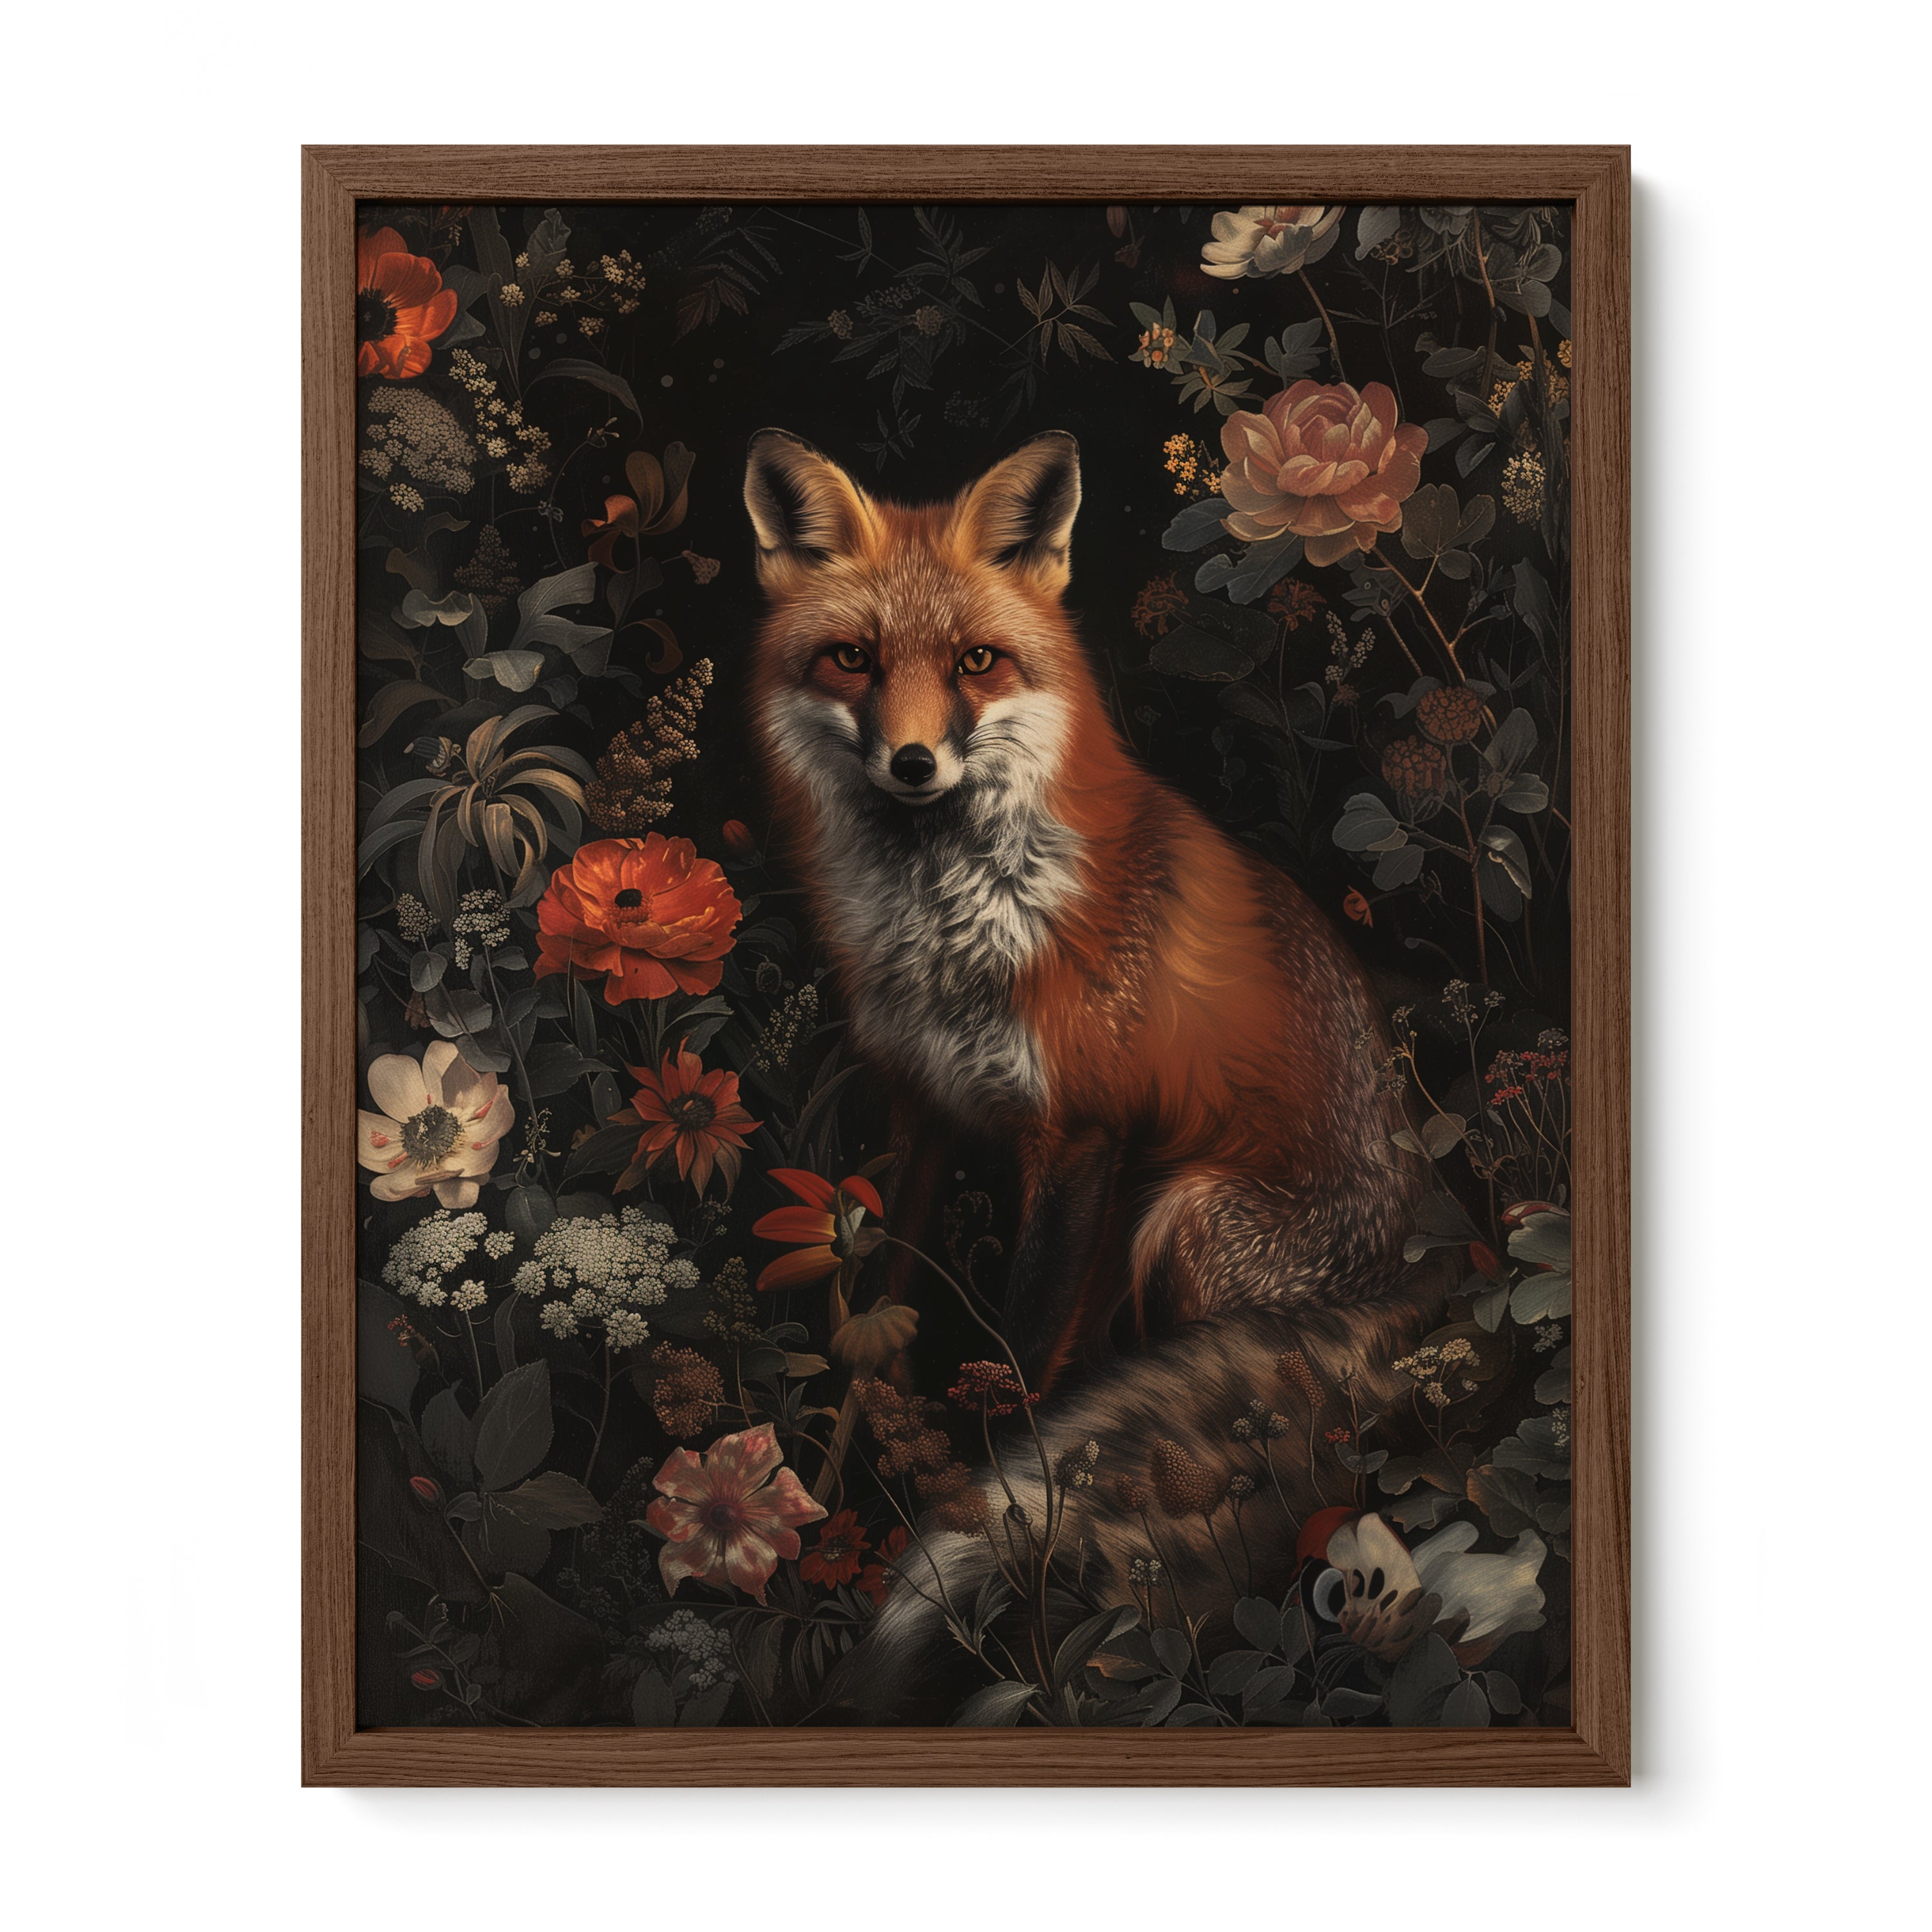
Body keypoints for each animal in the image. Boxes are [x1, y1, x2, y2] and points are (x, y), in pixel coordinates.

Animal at [742, 428, 1443, 1716]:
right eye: (852, 658)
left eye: (975, 662)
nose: (913, 762)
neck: (955, 927)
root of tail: (1443, 1255)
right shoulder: (920, 1115)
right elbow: (872, 1334)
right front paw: (818, 1504)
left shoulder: (1080, 1137)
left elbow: (1018, 1369)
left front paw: (968, 1520)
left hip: (1186, 1218)